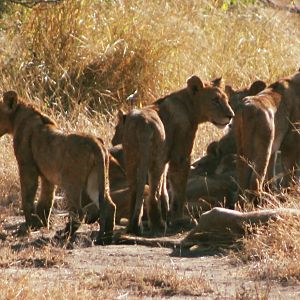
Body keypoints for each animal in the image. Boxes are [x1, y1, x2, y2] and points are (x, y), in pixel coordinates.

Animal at [0, 91, 116, 244]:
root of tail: (95, 143)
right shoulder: (46, 175)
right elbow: (46, 198)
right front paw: (40, 223)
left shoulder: (27, 167)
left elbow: (27, 196)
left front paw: (28, 225)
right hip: (96, 178)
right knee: (110, 206)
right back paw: (106, 238)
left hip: (72, 182)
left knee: (78, 212)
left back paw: (63, 235)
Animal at [112, 75, 234, 234]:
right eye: (215, 100)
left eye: (225, 99)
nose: (231, 116)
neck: (189, 105)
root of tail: (142, 124)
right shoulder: (180, 156)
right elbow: (179, 187)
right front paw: (178, 218)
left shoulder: (166, 157)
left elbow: (164, 188)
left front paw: (168, 214)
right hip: (155, 159)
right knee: (152, 194)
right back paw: (158, 225)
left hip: (132, 158)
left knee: (135, 189)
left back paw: (134, 226)